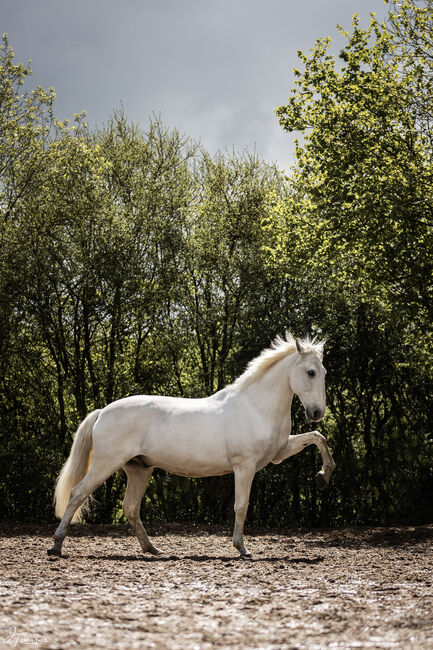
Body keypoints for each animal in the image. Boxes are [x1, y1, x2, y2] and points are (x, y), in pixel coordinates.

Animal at [49, 332, 336, 556]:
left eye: (323, 372)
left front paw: (323, 476)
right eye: (310, 372)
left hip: (139, 469)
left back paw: (152, 549)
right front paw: (241, 548)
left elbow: (318, 437)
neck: (255, 407)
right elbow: (241, 506)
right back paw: (56, 546)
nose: (316, 413)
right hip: (106, 464)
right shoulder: (244, 467)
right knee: (77, 494)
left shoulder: (279, 452)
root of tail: (102, 412)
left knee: (130, 507)